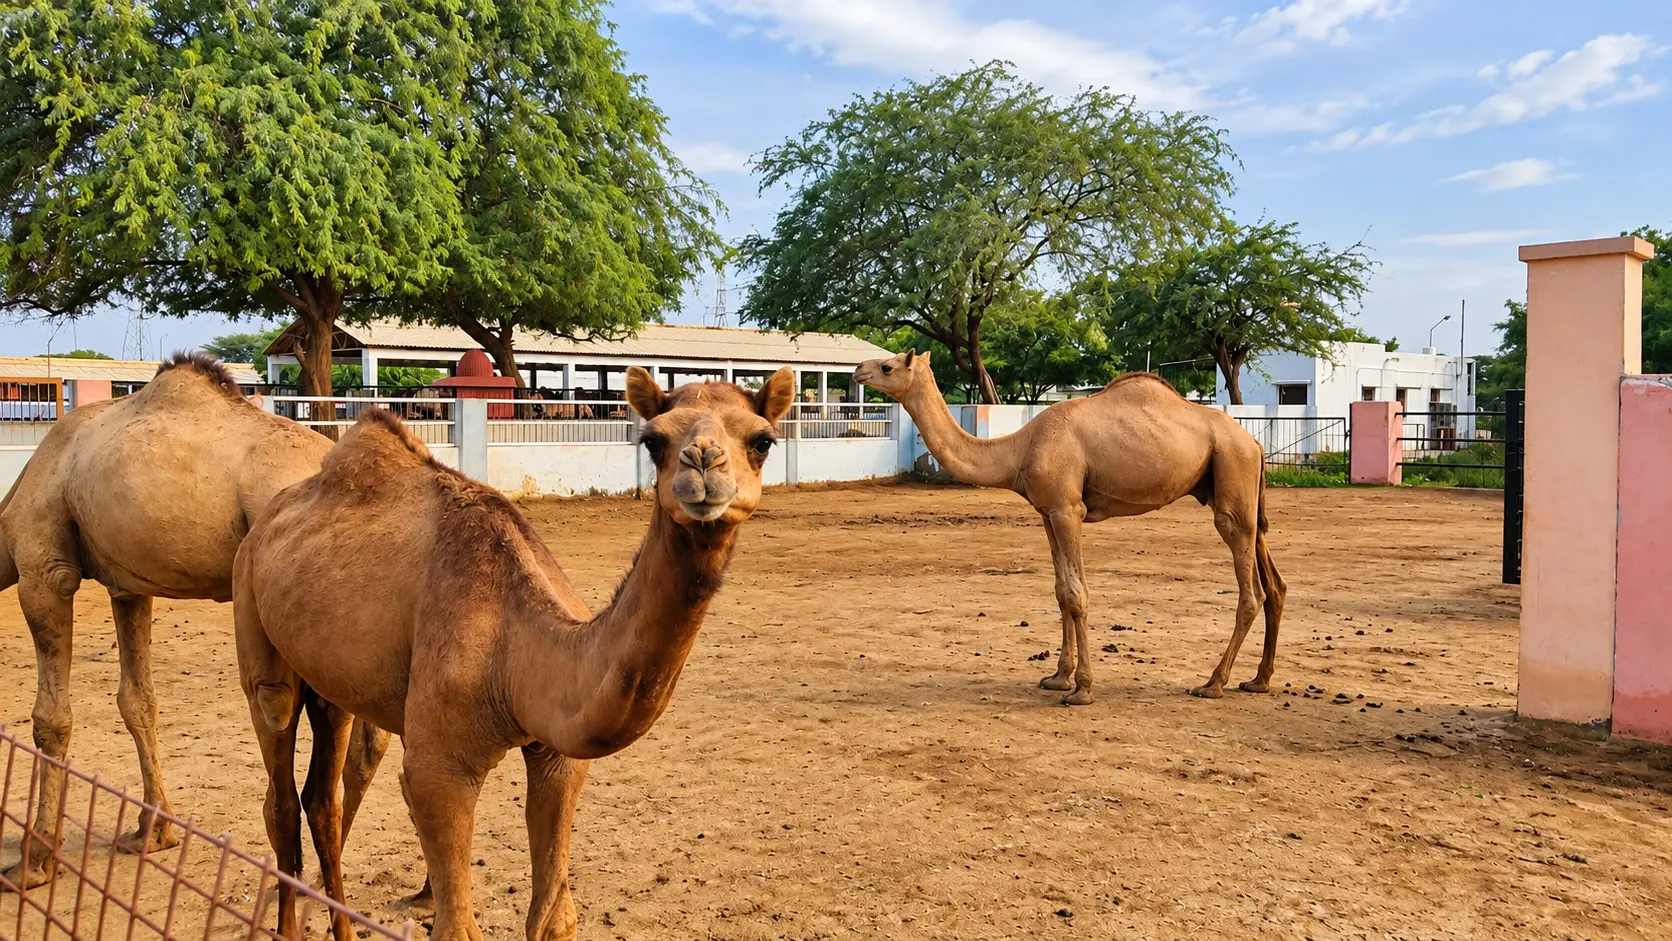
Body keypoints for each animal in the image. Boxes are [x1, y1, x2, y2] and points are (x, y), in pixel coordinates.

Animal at [0, 353, 386, 889]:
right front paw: (152, 831)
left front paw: (33, 862)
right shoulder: (127, 585)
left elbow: (49, 720)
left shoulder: (44, 569)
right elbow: (137, 701)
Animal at [234, 365, 795, 941]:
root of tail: (271, 516)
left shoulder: (559, 756)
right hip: (250, 602)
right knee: (278, 770)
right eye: (654, 440)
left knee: (322, 795)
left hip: (332, 678)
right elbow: (456, 925)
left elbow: (553, 918)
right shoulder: (442, 767)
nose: (702, 465)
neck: (516, 655)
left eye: (762, 441)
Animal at [854, 350, 1285, 705]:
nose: (858, 369)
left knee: (1251, 591)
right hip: (1238, 489)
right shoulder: (1047, 512)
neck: (1020, 448)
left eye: (888, 365)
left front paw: (1082, 689)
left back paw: (1212, 683)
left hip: (1231, 477)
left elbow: (1078, 595)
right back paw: (1258, 681)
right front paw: (1057, 677)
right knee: (1275, 583)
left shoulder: (1067, 509)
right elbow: (1061, 592)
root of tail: (1254, 444)